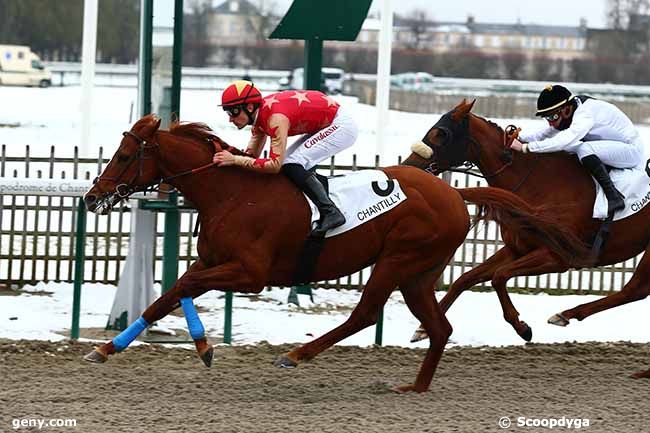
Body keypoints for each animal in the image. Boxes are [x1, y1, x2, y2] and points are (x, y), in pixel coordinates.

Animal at [82, 113, 592, 390]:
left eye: (124, 156)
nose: (92, 198)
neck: (231, 191)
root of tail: (454, 193)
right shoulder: (212, 261)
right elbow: (171, 293)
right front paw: (108, 348)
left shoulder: (250, 273)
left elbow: (183, 285)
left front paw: (201, 346)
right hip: (419, 273)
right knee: (439, 327)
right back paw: (415, 386)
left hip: (399, 259)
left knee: (365, 314)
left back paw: (296, 355)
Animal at [402, 99, 648, 376]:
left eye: (441, 134)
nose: (409, 165)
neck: (539, 184)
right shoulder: (516, 248)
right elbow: (465, 279)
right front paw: (422, 329)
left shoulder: (557, 257)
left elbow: (499, 277)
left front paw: (522, 327)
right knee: (636, 290)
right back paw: (568, 315)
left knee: (634, 289)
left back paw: (565, 314)